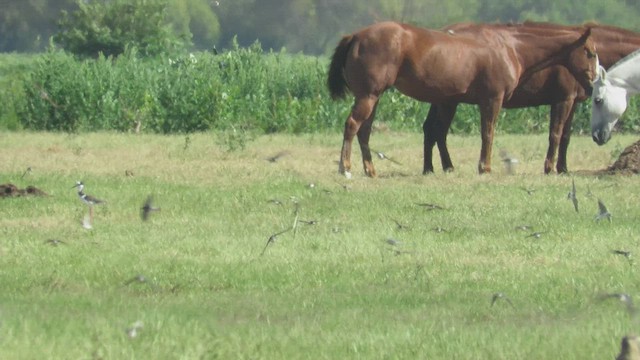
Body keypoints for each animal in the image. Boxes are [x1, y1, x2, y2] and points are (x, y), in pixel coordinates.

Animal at [328, 21, 596, 177]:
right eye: (590, 52)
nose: (594, 84)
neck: (509, 47)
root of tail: (356, 36)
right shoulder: (492, 100)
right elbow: (488, 133)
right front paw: (485, 167)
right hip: (368, 97)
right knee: (352, 125)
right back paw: (346, 167)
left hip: (373, 98)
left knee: (364, 131)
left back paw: (370, 169)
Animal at [422, 22, 640, 174]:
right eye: (598, 100)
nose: (599, 136)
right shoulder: (563, 101)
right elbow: (555, 134)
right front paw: (549, 168)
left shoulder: (572, 103)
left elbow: (565, 137)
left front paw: (563, 168)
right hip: (448, 102)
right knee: (438, 131)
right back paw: (446, 166)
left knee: (431, 130)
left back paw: (430, 168)